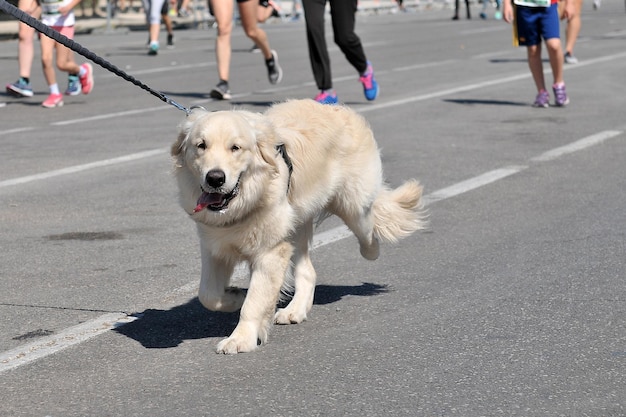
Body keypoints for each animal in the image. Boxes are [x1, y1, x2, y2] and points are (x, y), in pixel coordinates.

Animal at [171, 99, 424, 352]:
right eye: (201, 146)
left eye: (236, 148)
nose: (215, 178)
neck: (246, 202)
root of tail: (337, 108)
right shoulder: (215, 247)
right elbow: (208, 294)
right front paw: (235, 296)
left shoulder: (271, 252)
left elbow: (254, 301)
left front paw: (241, 338)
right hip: (297, 226)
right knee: (308, 271)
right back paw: (295, 310)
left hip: (353, 205)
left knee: (368, 232)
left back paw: (371, 249)